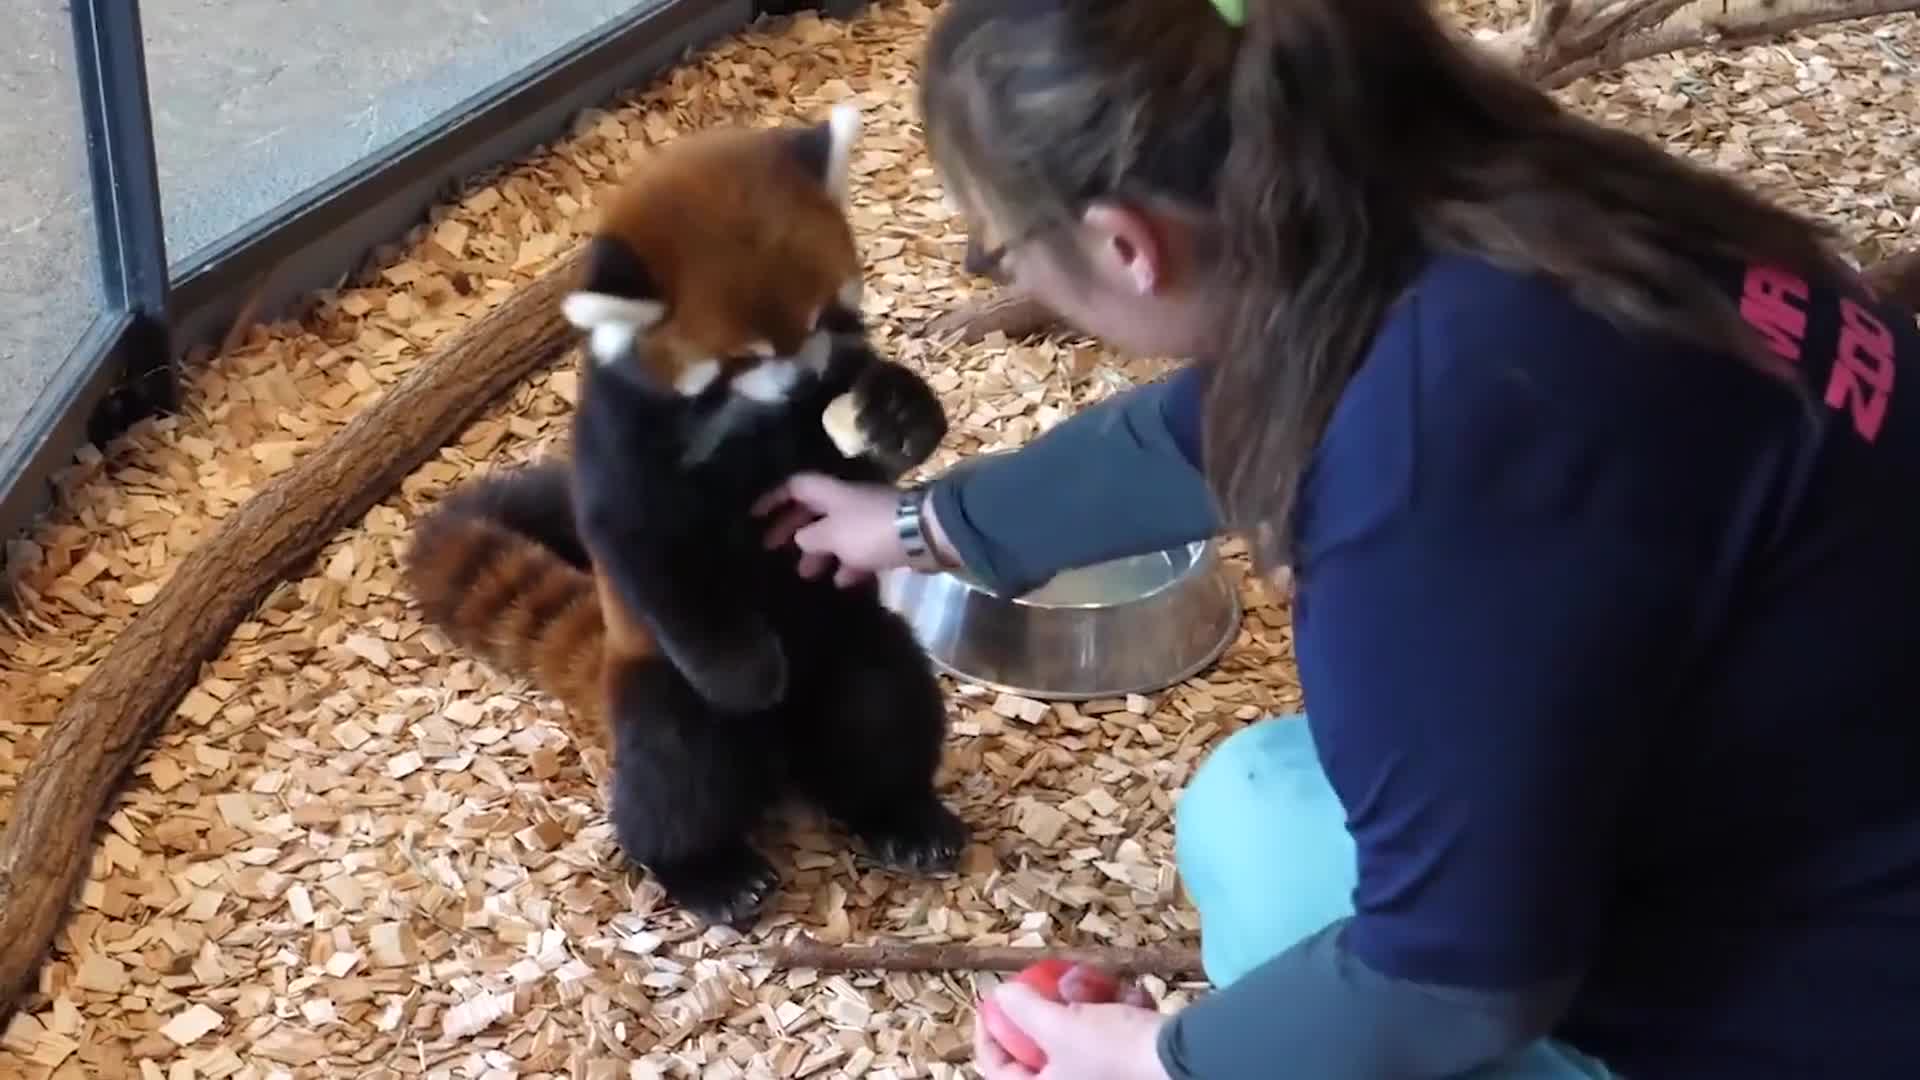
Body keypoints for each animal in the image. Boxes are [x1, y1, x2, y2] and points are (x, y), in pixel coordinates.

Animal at [410, 102, 967, 926]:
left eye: (831, 317)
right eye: (747, 359)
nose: (812, 384)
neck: (753, 424)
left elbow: (856, 473)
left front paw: (898, 413)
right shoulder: (622, 452)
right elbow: (657, 557)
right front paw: (747, 673)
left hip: (853, 641)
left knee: (883, 705)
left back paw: (901, 813)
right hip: (659, 688)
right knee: (679, 776)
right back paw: (706, 870)